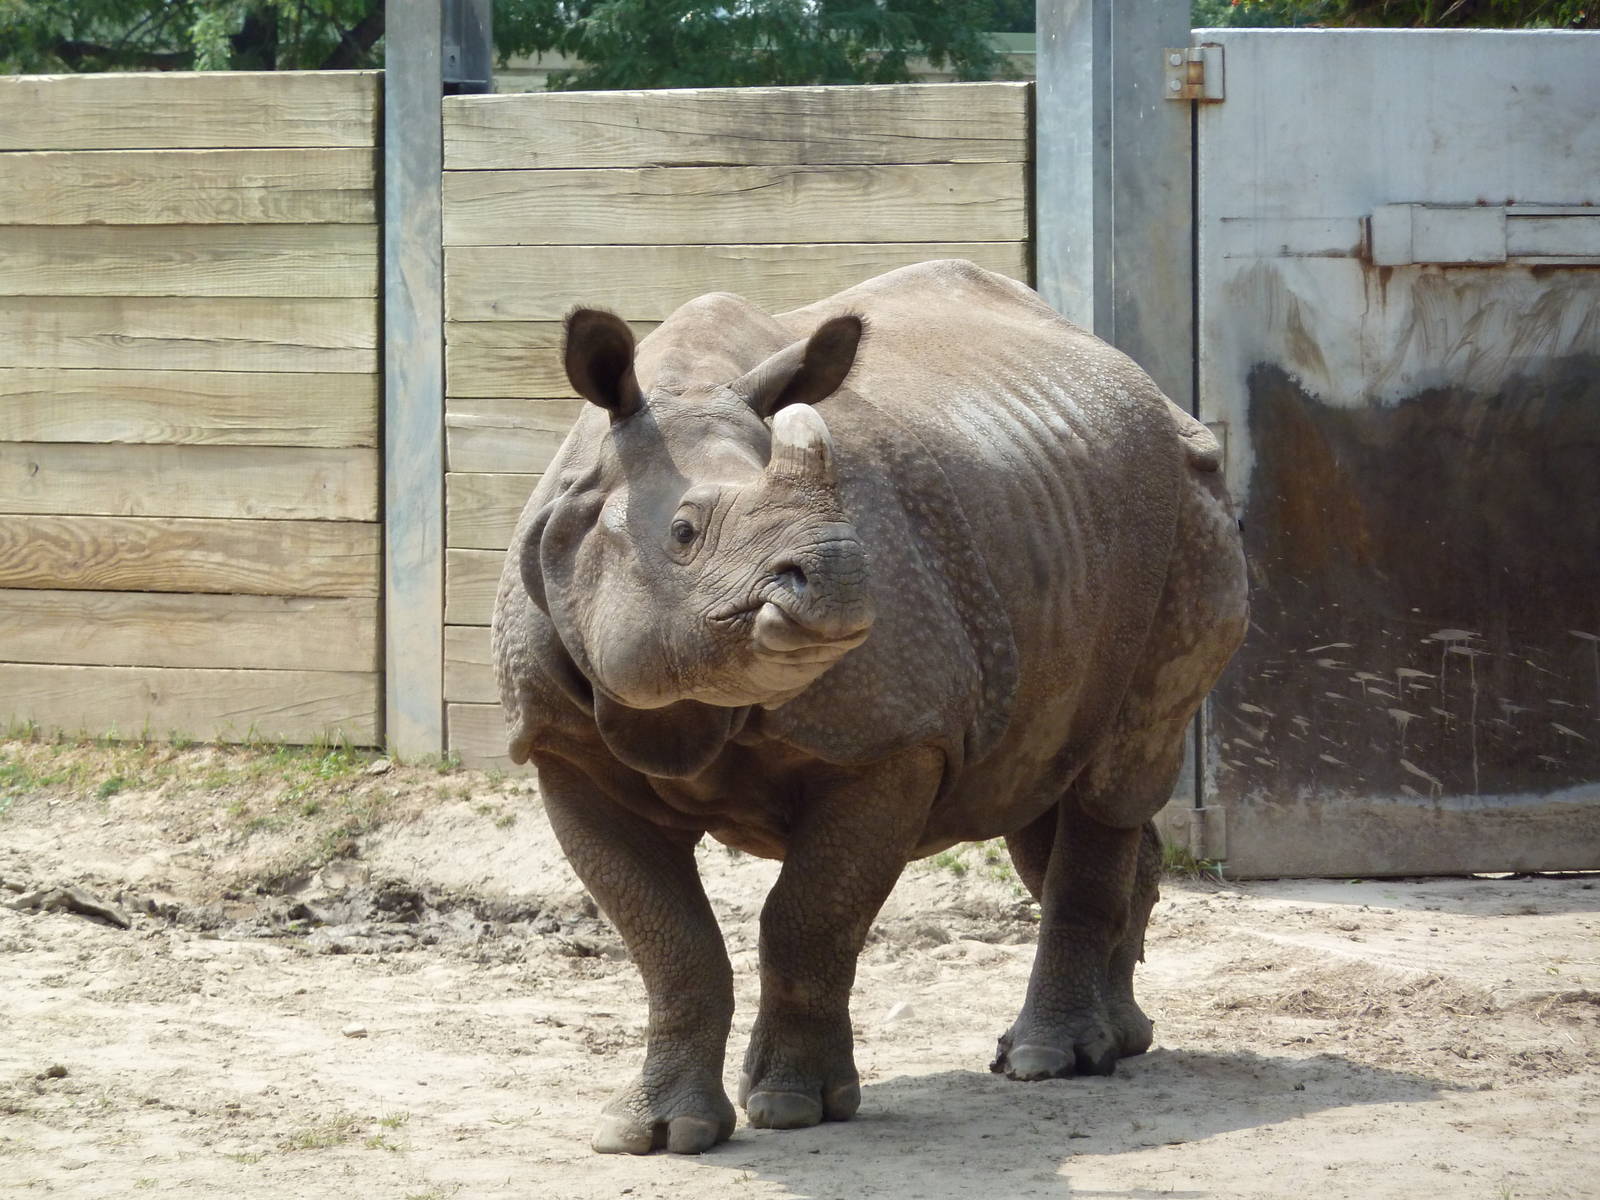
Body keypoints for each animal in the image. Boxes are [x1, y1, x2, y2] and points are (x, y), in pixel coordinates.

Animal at [492, 260, 1247, 1154]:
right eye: (682, 532)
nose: (843, 575)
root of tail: (1152, 390)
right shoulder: (562, 743)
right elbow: (668, 941)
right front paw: (658, 1134)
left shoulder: (893, 737)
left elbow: (810, 917)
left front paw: (794, 1108)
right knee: (1046, 790)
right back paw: (1116, 1042)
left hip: (1191, 511)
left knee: (1114, 775)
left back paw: (1049, 1059)